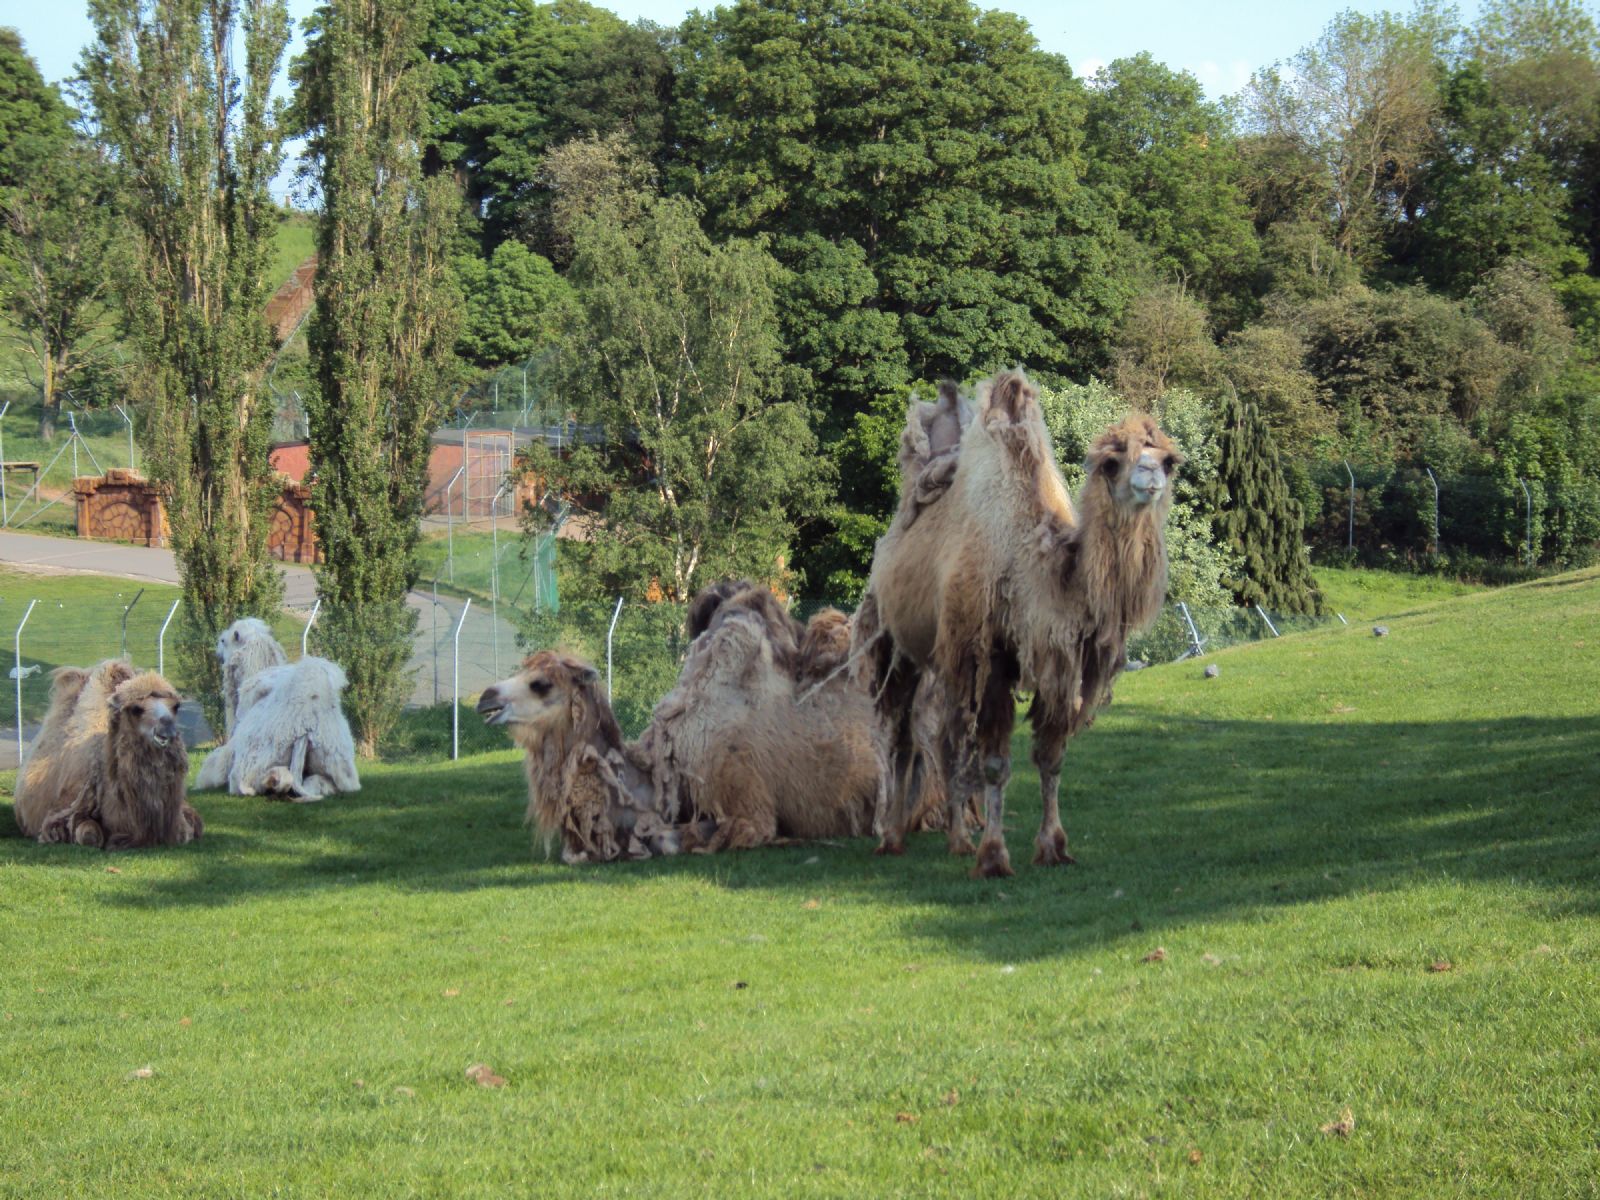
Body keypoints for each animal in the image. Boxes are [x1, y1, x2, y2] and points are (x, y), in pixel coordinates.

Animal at [18, 662, 200, 851]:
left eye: (176, 706)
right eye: (136, 709)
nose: (167, 729)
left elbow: (187, 830)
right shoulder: (63, 812)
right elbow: (88, 834)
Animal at [857, 371, 1184, 876]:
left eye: (1168, 460)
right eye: (1111, 463)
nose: (1149, 478)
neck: (1038, 568)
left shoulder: (1060, 659)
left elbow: (1051, 757)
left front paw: (1053, 847)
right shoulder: (994, 655)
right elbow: (995, 763)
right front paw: (995, 857)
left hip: (945, 656)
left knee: (947, 739)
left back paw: (958, 840)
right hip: (897, 640)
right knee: (902, 733)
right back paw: (891, 838)